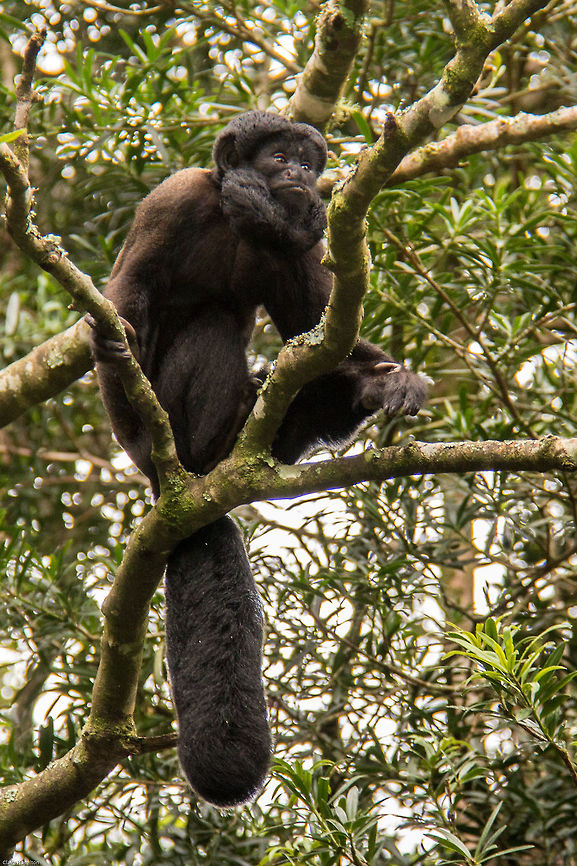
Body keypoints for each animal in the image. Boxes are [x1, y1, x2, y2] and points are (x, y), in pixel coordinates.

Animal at [90, 111, 427, 807]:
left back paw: (343, 399)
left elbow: (315, 318)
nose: (298, 172)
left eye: (306, 160)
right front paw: (114, 350)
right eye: (279, 155)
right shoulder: (173, 200)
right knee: (212, 325)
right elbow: (128, 291)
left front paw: (386, 378)